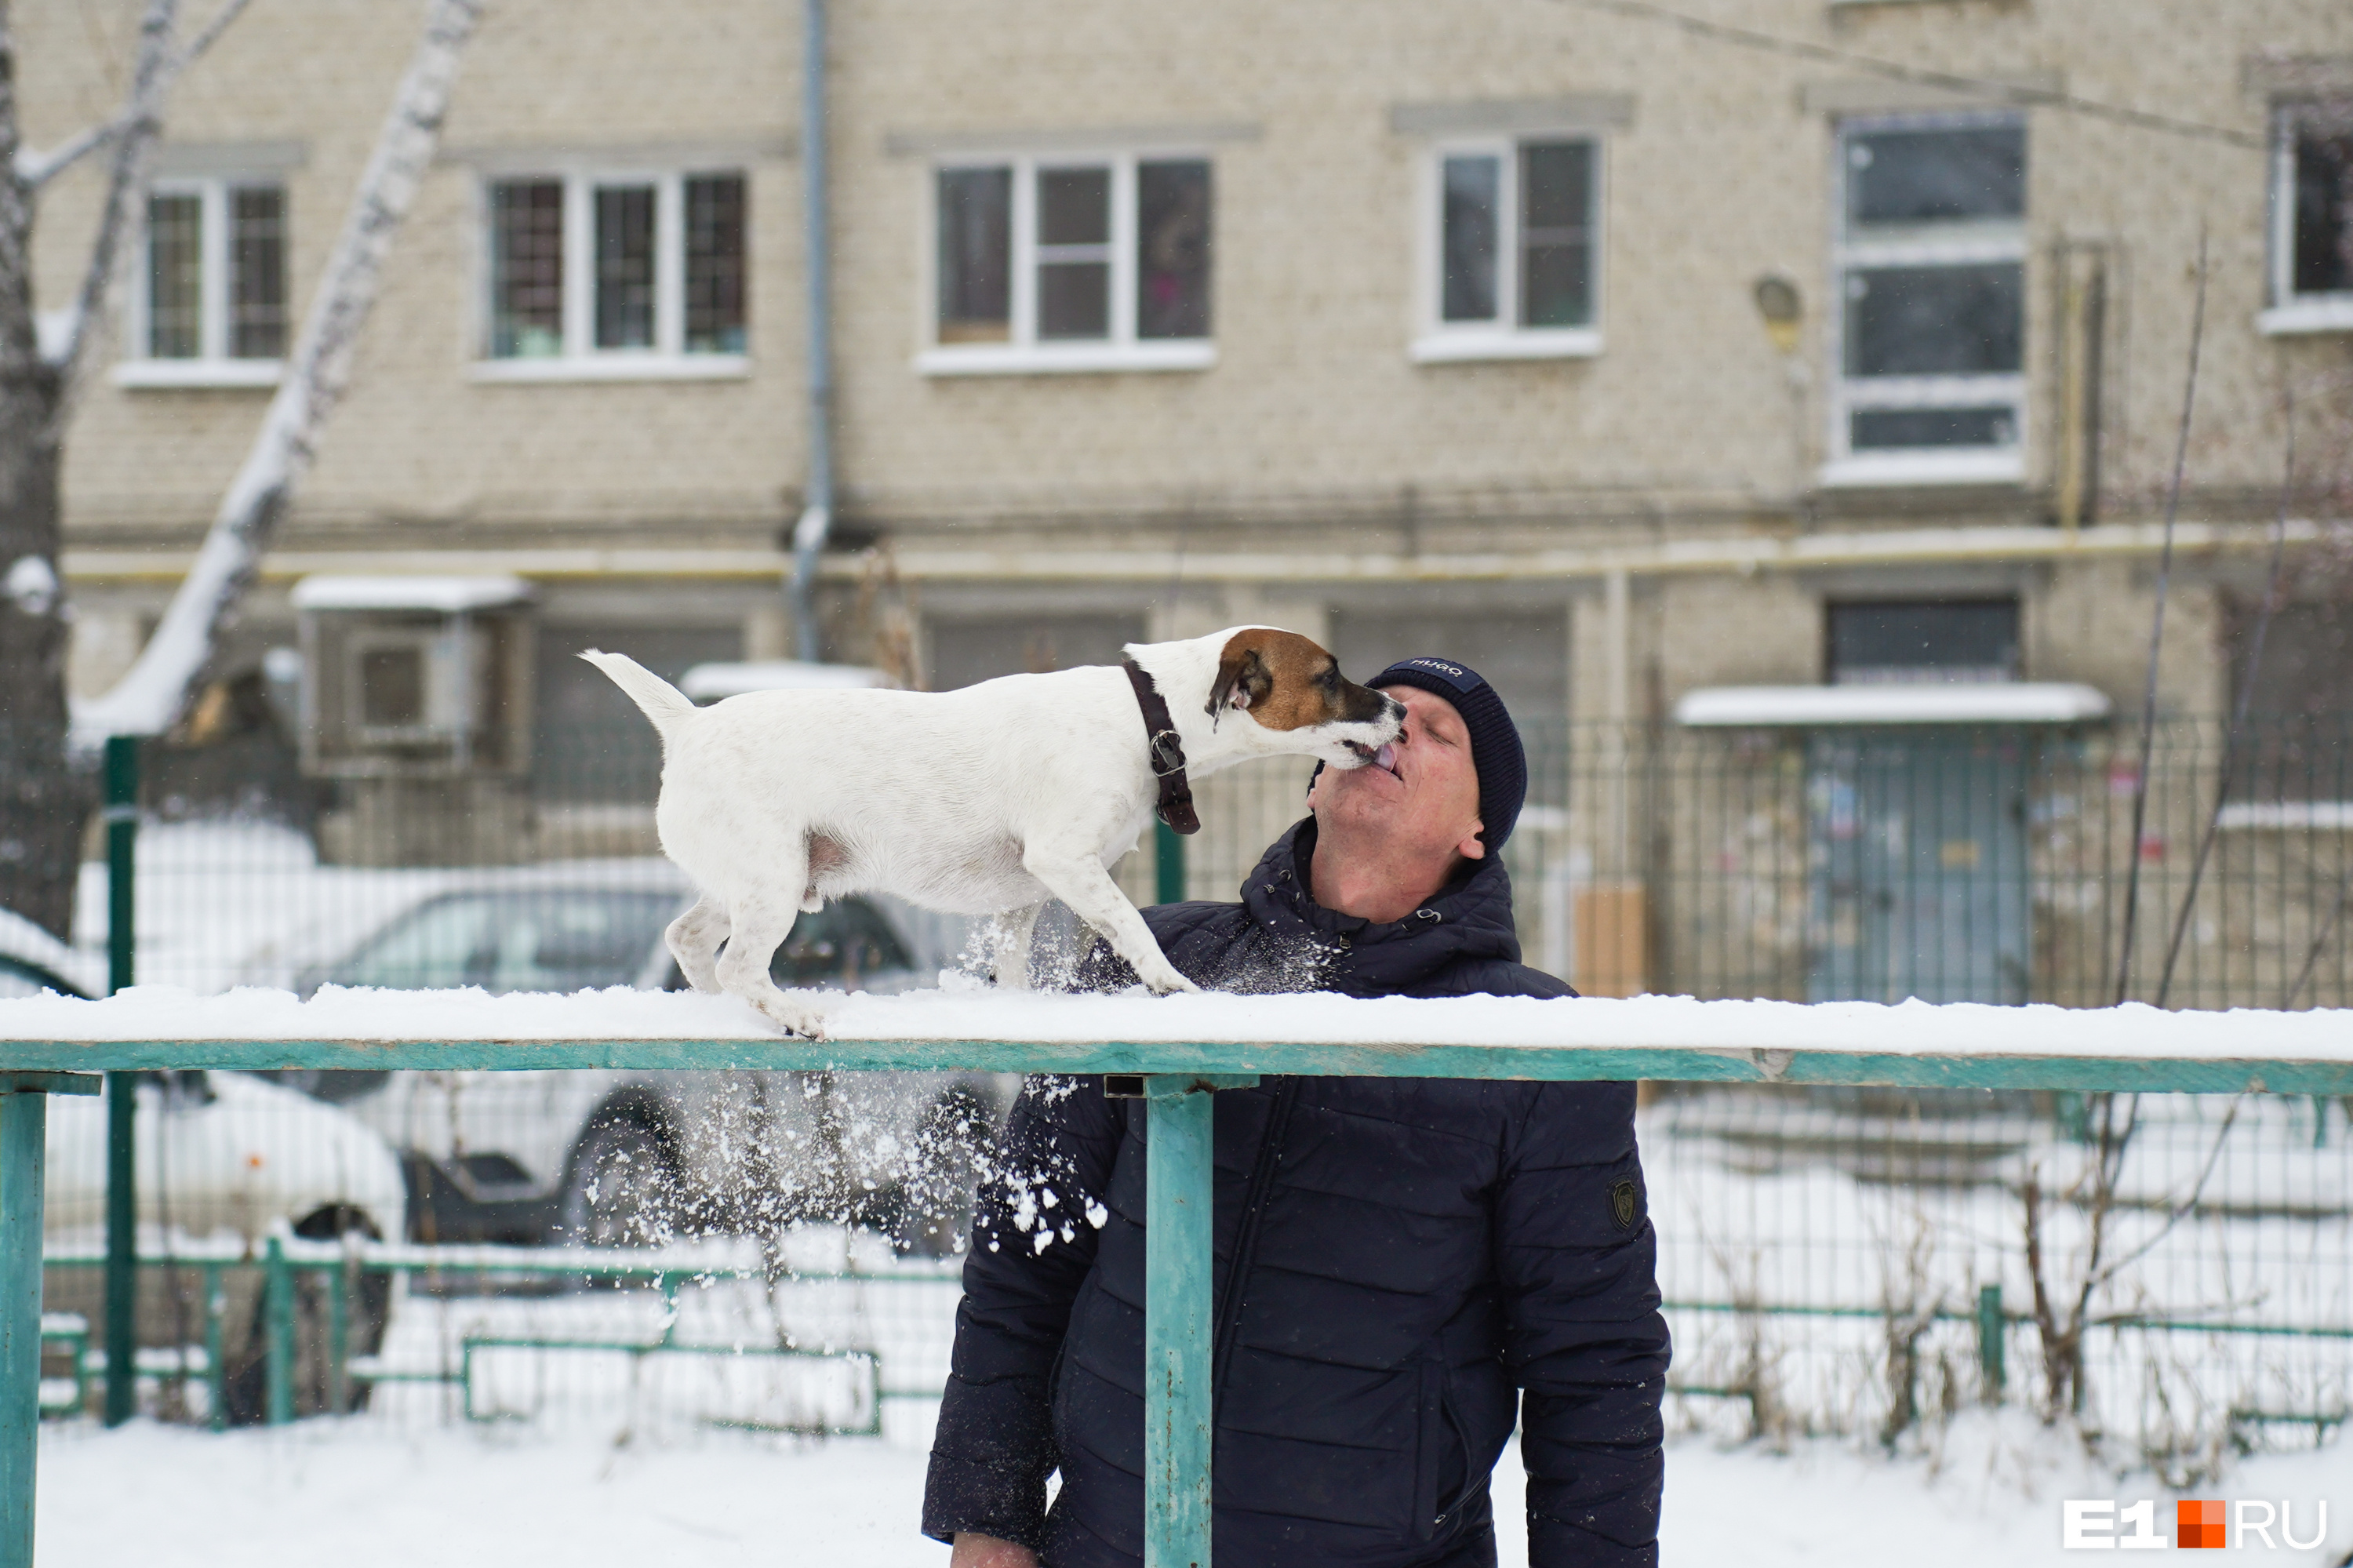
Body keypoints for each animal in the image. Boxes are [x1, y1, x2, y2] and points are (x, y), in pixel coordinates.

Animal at [581, 631, 1402, 1031]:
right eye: (1330, 676)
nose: (1397, 710)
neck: (1148, 714)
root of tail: (688, 723)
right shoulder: (1066, 862)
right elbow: (1134, 927)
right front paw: (1170, 983)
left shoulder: (1024, 895)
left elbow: (1013, 966)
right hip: (773, 882)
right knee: (739, 966)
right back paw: (793, 1012)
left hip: (749, 881)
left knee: (688, 939)